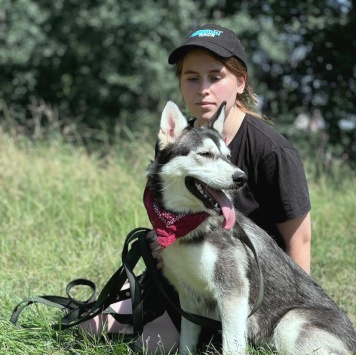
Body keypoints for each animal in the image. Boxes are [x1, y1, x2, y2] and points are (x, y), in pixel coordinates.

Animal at [145, 101, 356, 354]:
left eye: (228, 157)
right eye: (205, 154)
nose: (240, 178)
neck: (188, 227)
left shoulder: (233, 295)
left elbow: (232, 345)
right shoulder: (189, 298)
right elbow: (187, 343)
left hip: (288, 323)